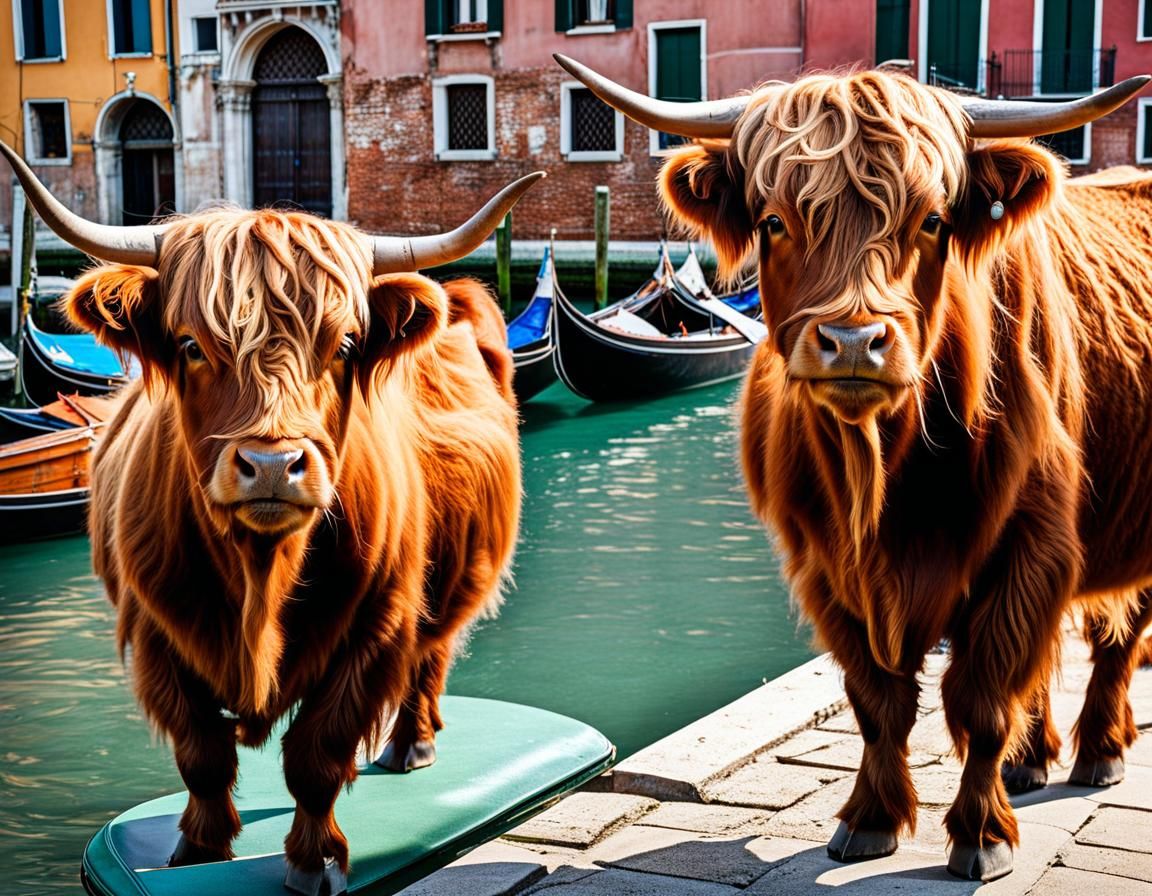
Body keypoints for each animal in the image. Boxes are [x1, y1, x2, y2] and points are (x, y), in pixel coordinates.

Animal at [0, 141, 539, 895]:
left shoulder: (373, 630)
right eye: (191, 346)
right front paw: (198, 846)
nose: (273, 465)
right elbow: (201, 753)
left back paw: (411, 743)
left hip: (451, 585)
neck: (259, 573)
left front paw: (313, 863)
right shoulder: (158, 633)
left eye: (344, 346)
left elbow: (317, 756)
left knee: (430, 657)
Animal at [554, 56, 1152, 882]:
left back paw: (1099, 751)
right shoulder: (824, 565)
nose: (853, 341)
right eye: (775, 221)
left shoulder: (1028, 547)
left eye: (931, 221)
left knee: (1115, 638)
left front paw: (980, 835)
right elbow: (877, 702)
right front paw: (869, 821)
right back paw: (1033, 761)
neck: (881, 474)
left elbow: (982, 697)